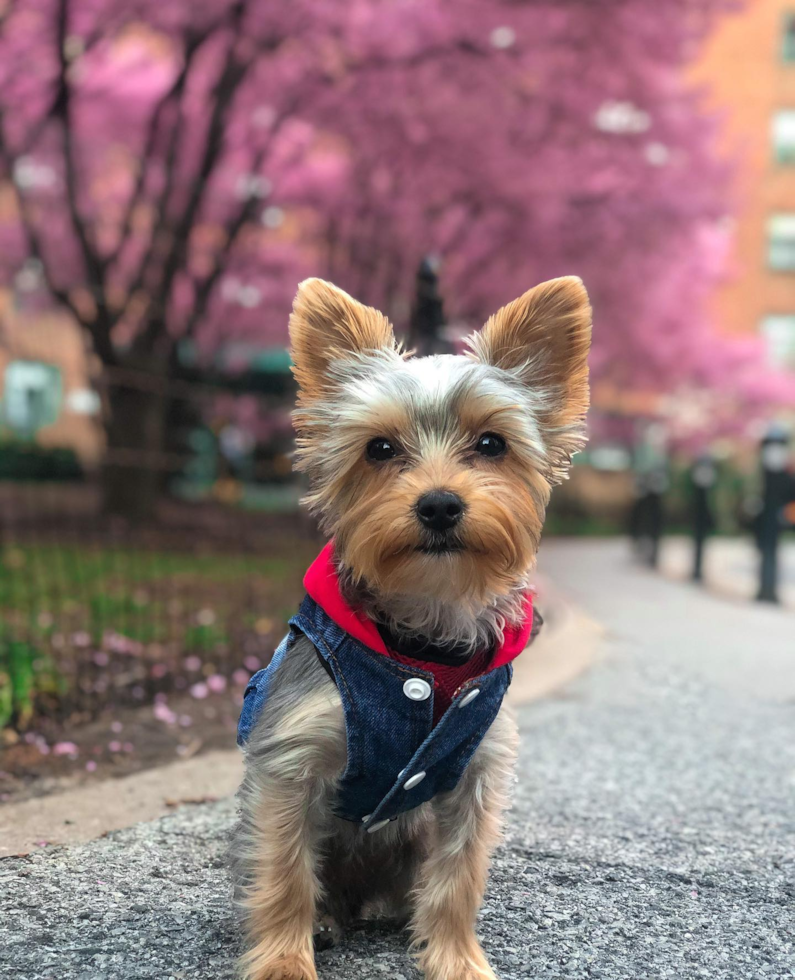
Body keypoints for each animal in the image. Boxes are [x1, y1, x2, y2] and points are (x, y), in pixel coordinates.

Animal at [230, 276, 592, 980]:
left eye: (491, 443)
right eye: (379, 448)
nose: (440, 504)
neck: (424, 635)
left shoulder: (473, 773)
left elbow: (457, 878)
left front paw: (456, 960)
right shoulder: (290, 762)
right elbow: (285, 872)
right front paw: (285, 960)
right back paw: (328, 923)